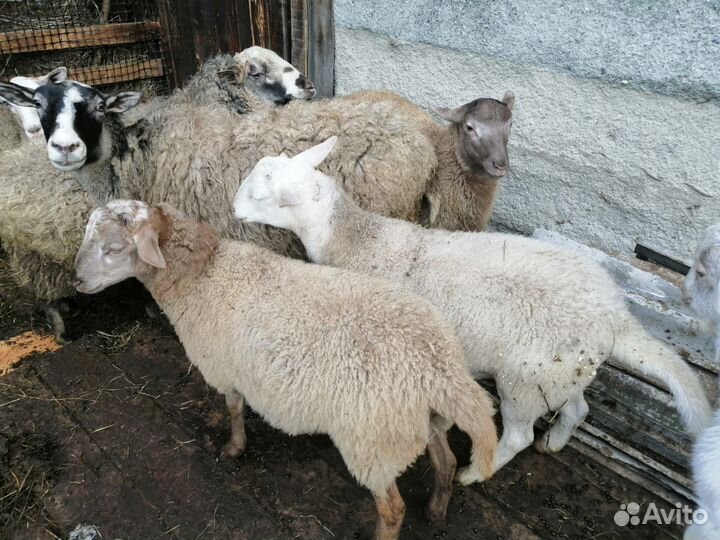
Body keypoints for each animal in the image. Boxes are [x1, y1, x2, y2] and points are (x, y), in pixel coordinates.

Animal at [72, 199, 499, 539]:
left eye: (114, 248)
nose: (76, 280)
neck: (202, 274)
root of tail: (439, 367)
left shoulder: (226, 369)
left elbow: (233, 410)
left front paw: (234, 447)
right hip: (418, 422)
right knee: (447, 463)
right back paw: (436, 511)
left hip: (372, 441)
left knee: (393, 509)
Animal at [232, 137, 714, 478]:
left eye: (261, 196)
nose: (234, 211)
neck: (356, 237)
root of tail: (615, 316)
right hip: (563, 370)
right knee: (577, 409)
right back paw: (554, 444)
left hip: (525, 378)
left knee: (518, 435)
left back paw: (475, 473)